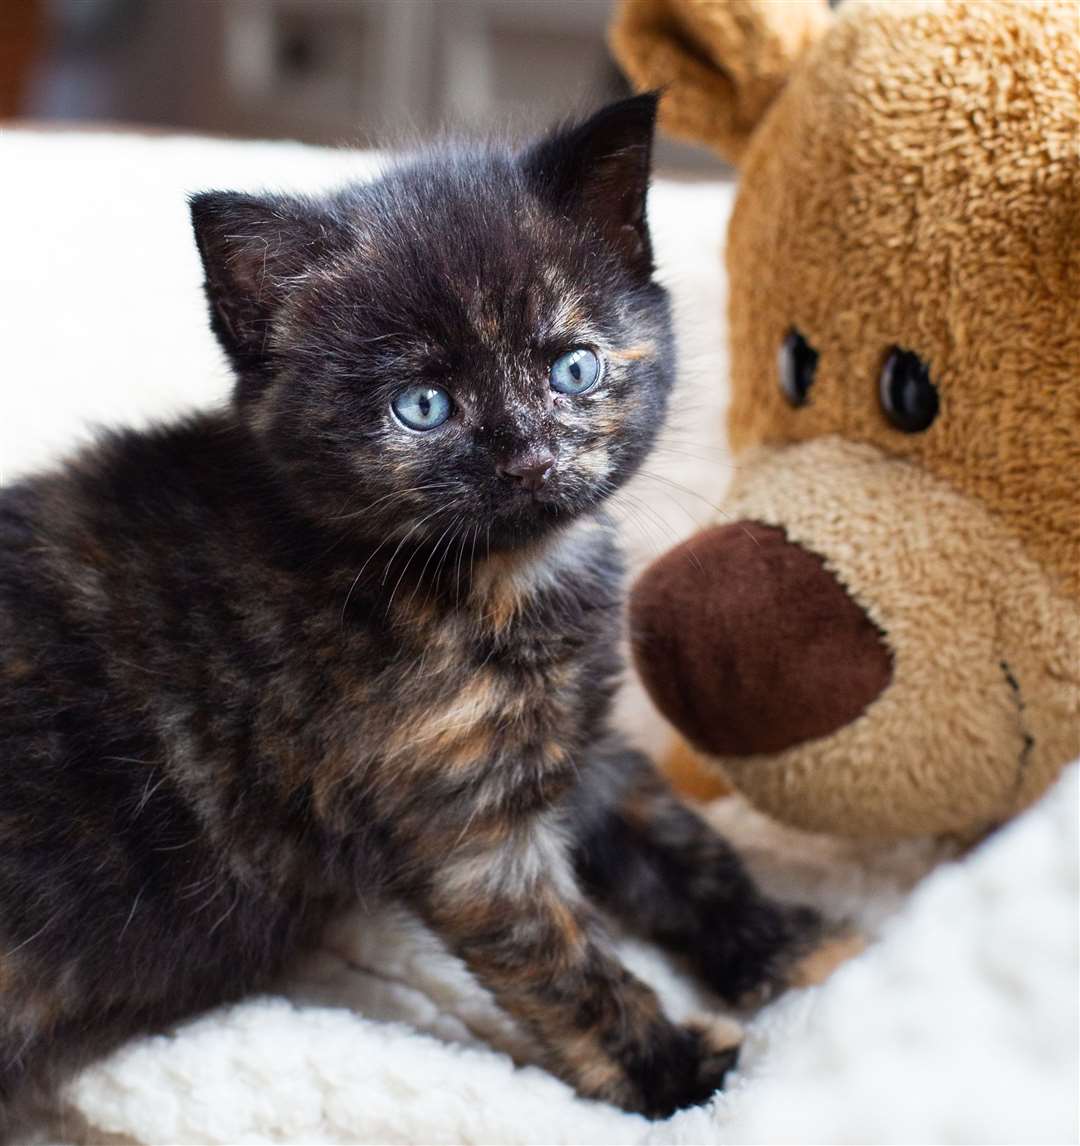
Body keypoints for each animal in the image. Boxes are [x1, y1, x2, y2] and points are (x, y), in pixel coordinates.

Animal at [0, 96, 820, 1127]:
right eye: (422, 405)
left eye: (575, 369)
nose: (528, 457)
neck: (504, 580)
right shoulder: (467, 824)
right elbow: (565, 962)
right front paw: (674, 1074)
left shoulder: (578, 742)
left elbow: (676, 837)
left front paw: (779, 942)